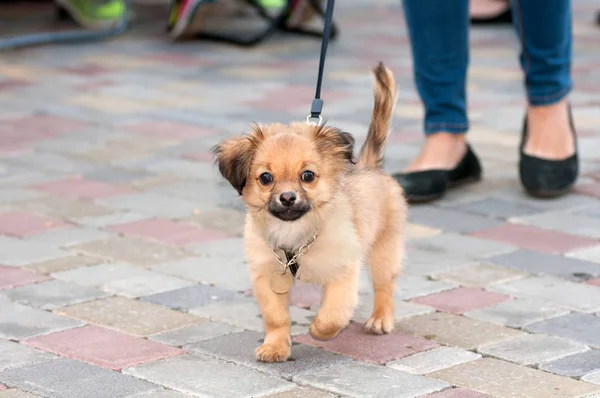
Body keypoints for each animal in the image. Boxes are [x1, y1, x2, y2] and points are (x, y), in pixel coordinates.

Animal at [212, 61, 408, 360]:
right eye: (266, 178)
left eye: (307, 176)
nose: (287, 197)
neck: (295, 233)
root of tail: (369, 166)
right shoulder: (266, 276)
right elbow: (276, 318)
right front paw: (275, 347)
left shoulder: (343, 272)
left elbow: (333, 313)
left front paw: (319, 330)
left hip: (384, 251)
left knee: (385, 286)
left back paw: (380, 319)